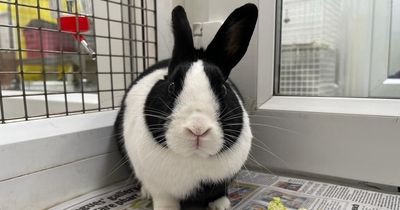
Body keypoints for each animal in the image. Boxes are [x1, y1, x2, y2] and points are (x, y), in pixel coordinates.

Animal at [115, 3, 260, 210]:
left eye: (223, 89)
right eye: (171, 87)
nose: (197, 129)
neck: (193, 158)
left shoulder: (223, 180)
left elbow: (219, 191)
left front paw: (222, 205)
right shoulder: (158, 186)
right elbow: (164, 199)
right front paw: (165, 208)